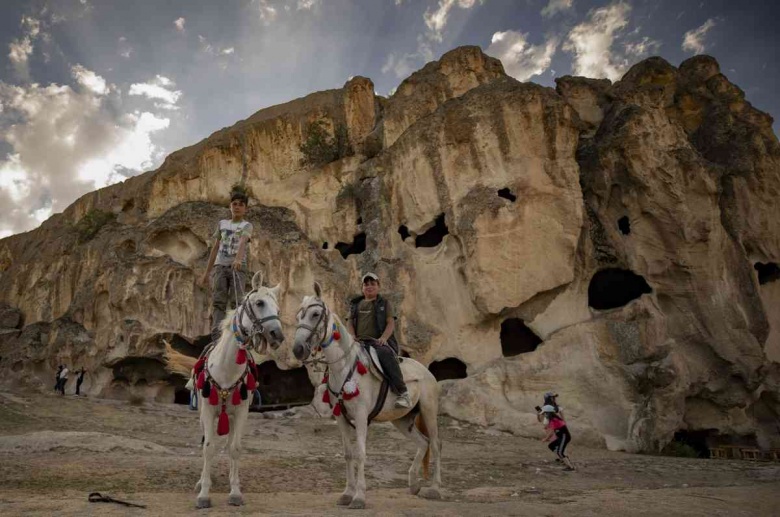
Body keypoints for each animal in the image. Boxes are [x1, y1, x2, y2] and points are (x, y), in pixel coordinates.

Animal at [194, 270, 284, 508]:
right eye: (260, 303)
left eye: (278, 309)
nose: (277, 335)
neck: (226, 369)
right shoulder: (208, 411)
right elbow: (208, 447)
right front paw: (204, 493)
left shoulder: (242, 412)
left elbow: (234, 449)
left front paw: (235, 492)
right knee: (207, 441)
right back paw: (201, 480)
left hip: (233, 417)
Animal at [292, 280, 442, 506]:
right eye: (299, 315)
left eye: (315, 314)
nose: (298, 349)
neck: (345, 367)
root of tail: (426, 371)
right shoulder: (341, 418)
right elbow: (348, 454)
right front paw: (347, 493)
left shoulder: (361, 417)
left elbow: (361, 454)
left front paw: (359, 497)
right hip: (401, 420)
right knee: (423, 443)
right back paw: (414, 484)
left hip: (429, 411)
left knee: (435, 444)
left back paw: (434, 489)